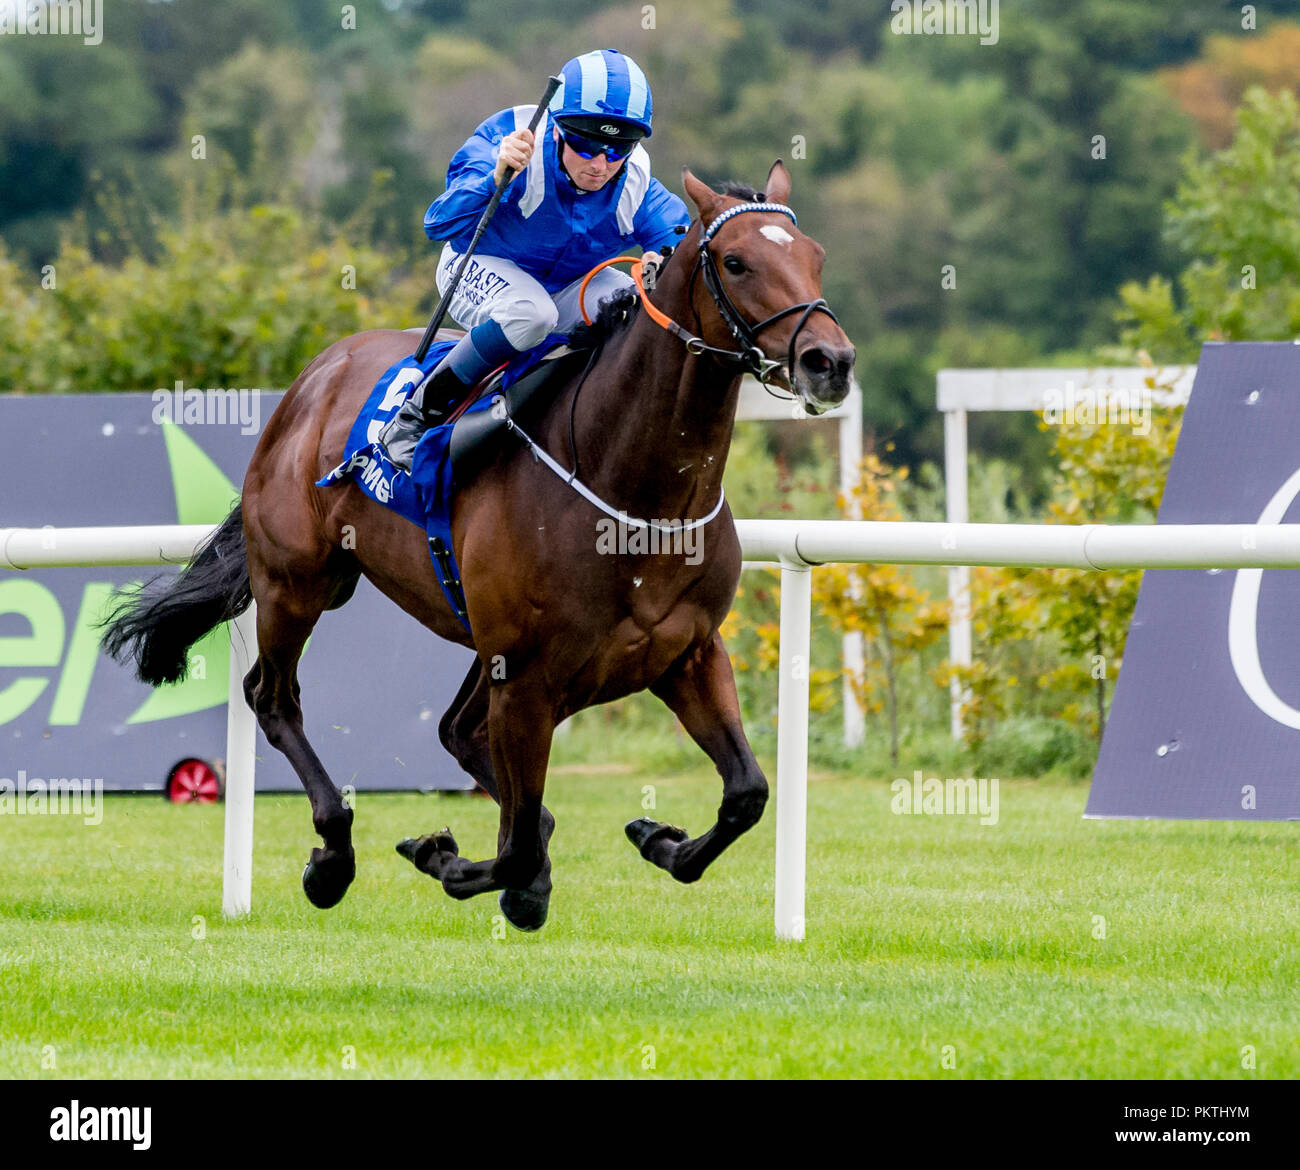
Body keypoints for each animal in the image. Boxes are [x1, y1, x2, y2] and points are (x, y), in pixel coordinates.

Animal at [101, 162, 852, 930]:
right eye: (735, 262)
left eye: (815, 254)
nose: (830, 360)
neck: (635, 493)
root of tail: (315, 375)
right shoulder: (525, 676)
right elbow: (517, 848)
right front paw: (449, 859)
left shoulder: (685, 653)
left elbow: (746, 793)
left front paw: (657, 838)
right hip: (298, 582)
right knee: (274, 698)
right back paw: (333, 857)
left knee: (458, 735)